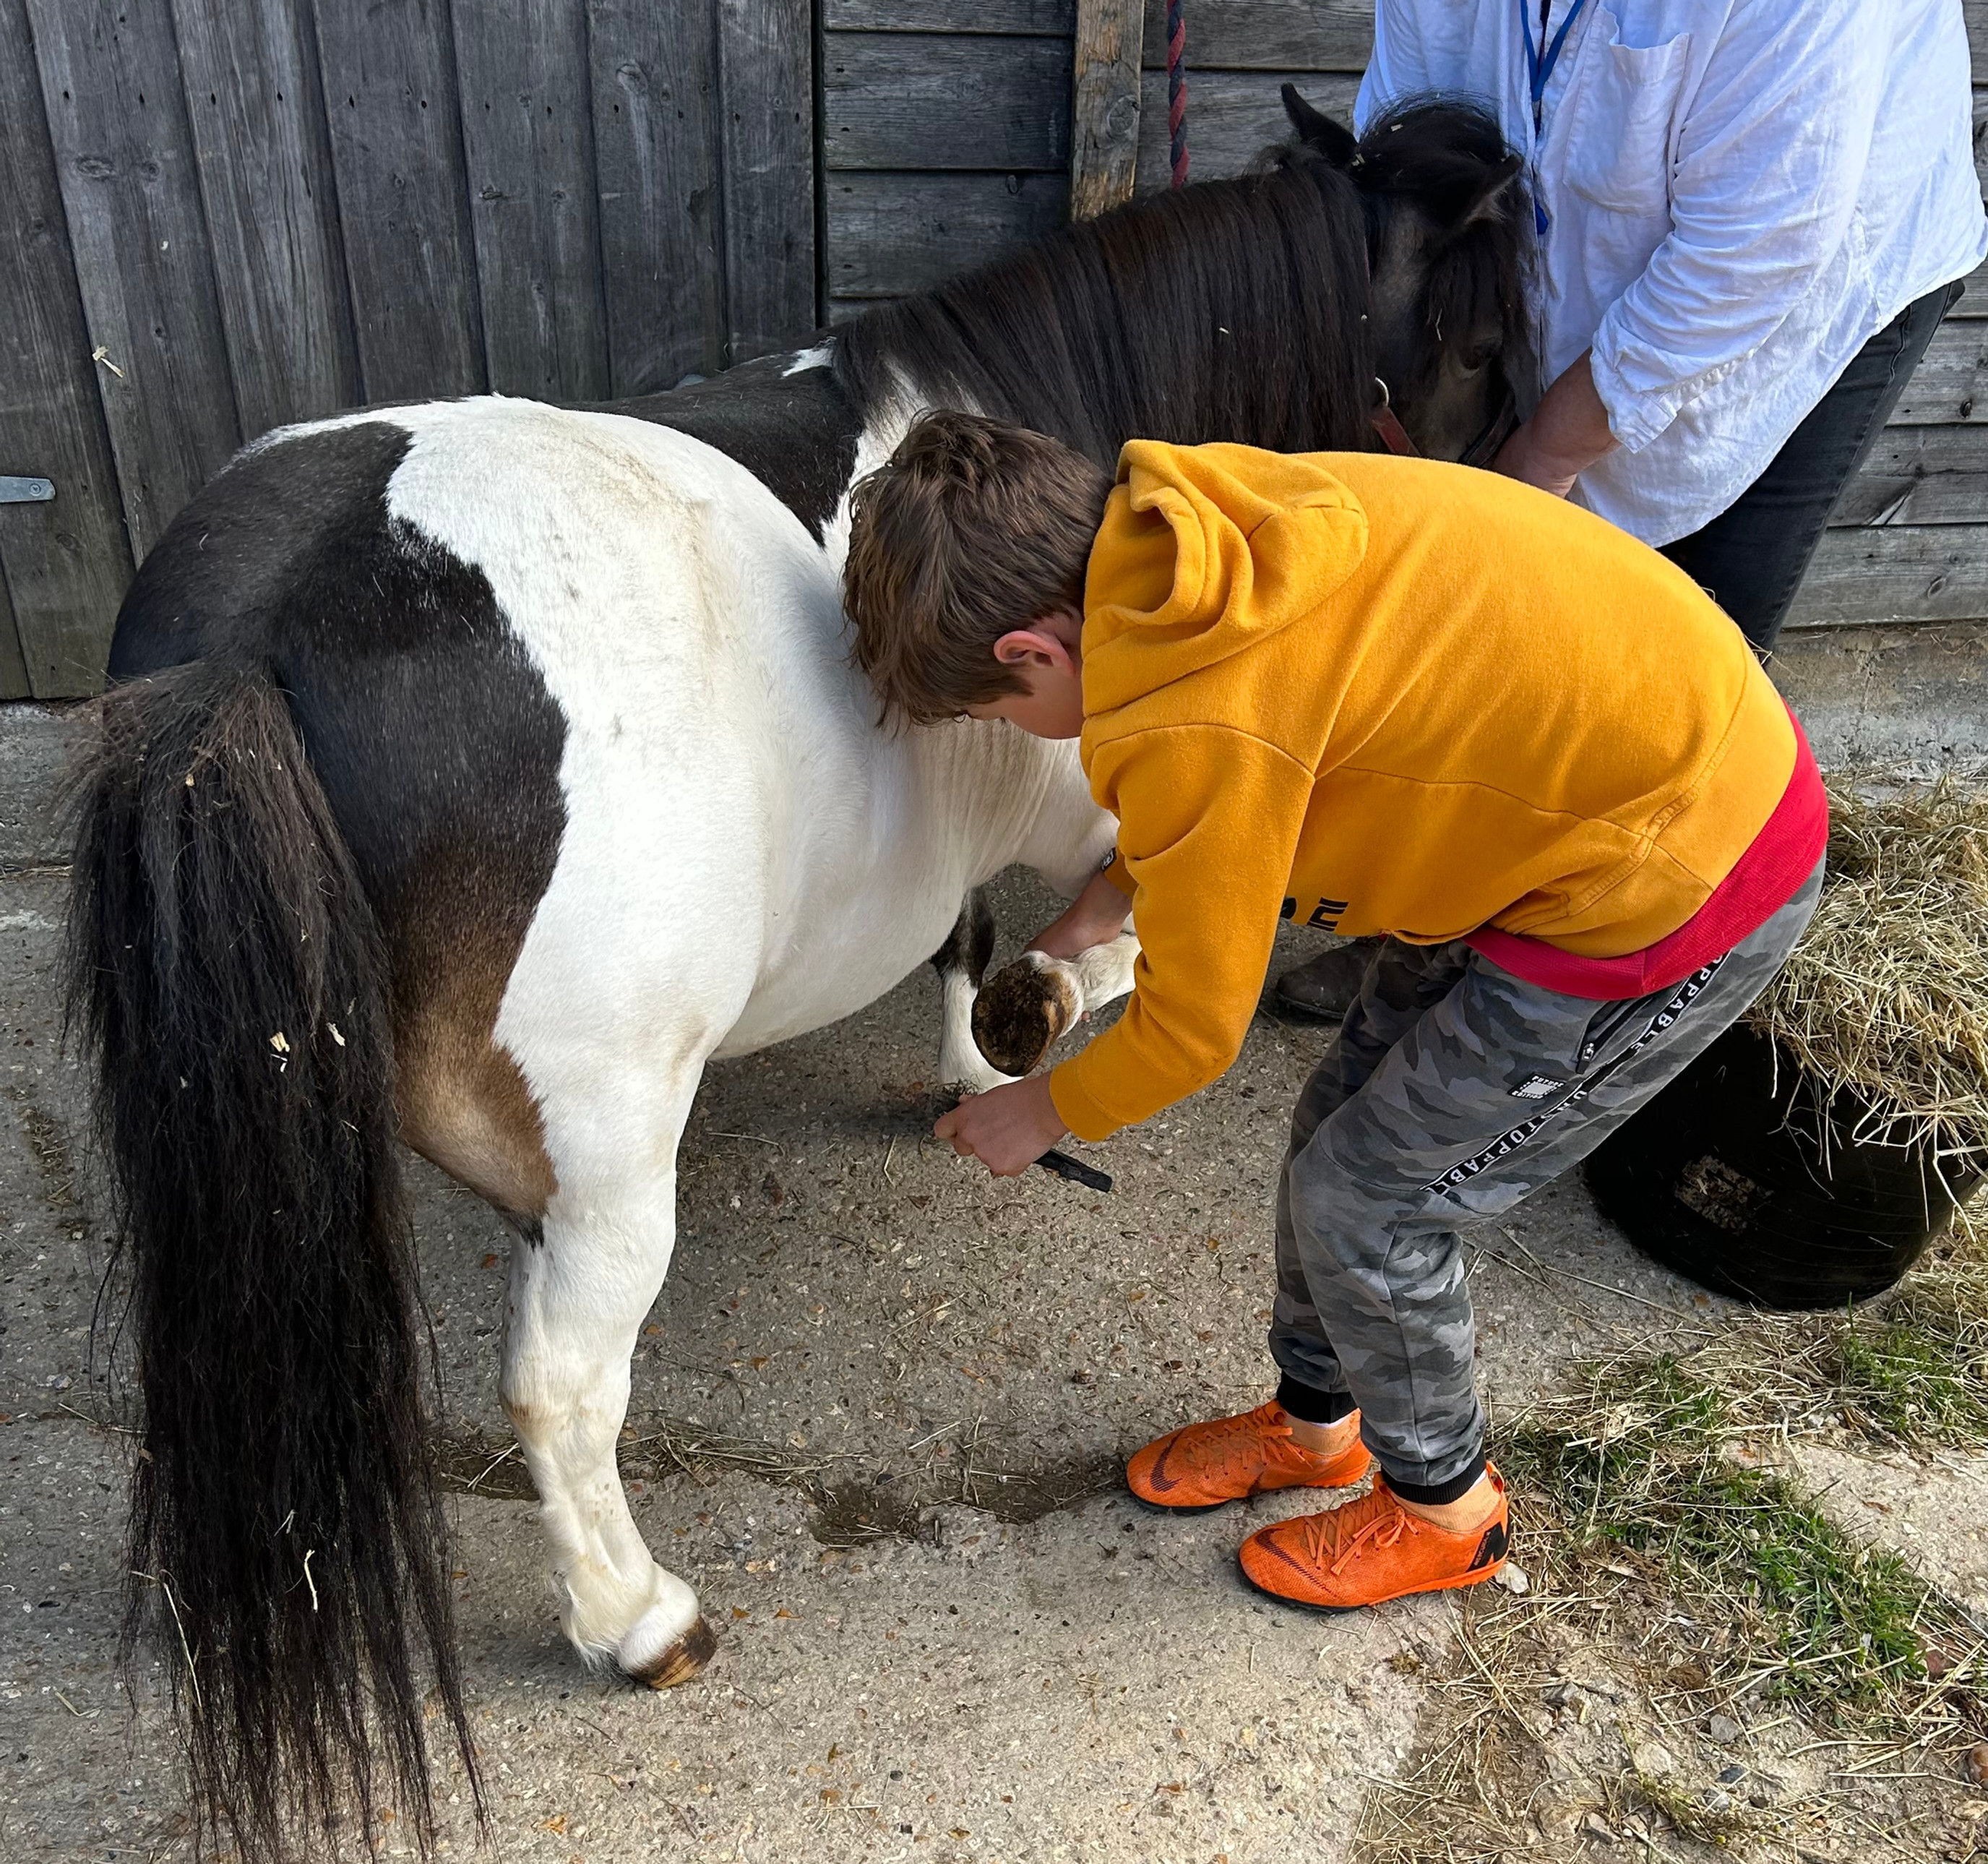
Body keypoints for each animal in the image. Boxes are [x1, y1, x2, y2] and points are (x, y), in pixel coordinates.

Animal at [65, 93, 1523, 1862]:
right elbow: (1103, 957)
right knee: (563, 1387)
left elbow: (970, 931)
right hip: (611, 1154)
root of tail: (246, 643)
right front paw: (1023, 1029)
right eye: (1485, 337)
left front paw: (975, 1050)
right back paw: (638, 1618)